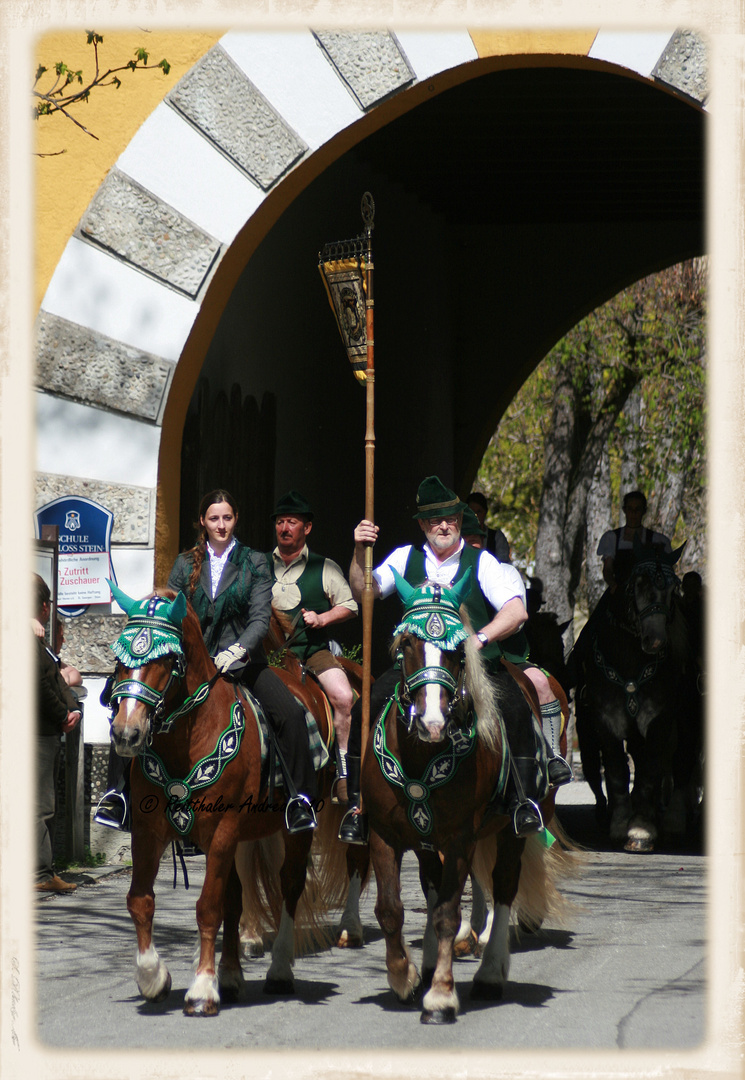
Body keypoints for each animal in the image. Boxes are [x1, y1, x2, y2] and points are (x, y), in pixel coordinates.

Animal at [104, 583, 343, 1010]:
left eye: (166, 659)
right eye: (119, 659)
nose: (126, 734)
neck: (187, 739)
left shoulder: (221, 831)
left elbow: (208, 907)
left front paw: (201, 988)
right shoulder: (149, 831)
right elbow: (141, 900)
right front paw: (153, 977)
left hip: (293, 828)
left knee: (289, 884)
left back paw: (279, 970)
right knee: (236, 897)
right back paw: (231, 975)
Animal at [360, 570, 574, 1023]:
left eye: (459, 650)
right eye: (407, 644)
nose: (432, 723)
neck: (423, 756)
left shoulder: (459, 838)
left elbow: (447, 912)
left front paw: (440, 996)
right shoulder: (385, 836)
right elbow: (391, 909)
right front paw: (403, 977)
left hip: (512, 828)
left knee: (504, 884)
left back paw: (490, 972)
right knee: (433, 884)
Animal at [570, 540, 686, 851]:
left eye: (675, 588)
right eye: (638, 584)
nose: (656, 641)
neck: (630, 660)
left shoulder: (659, 720)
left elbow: (648, 770)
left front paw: (642, 830)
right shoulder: (605, 721)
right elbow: (616, 770)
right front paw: (621, 824)